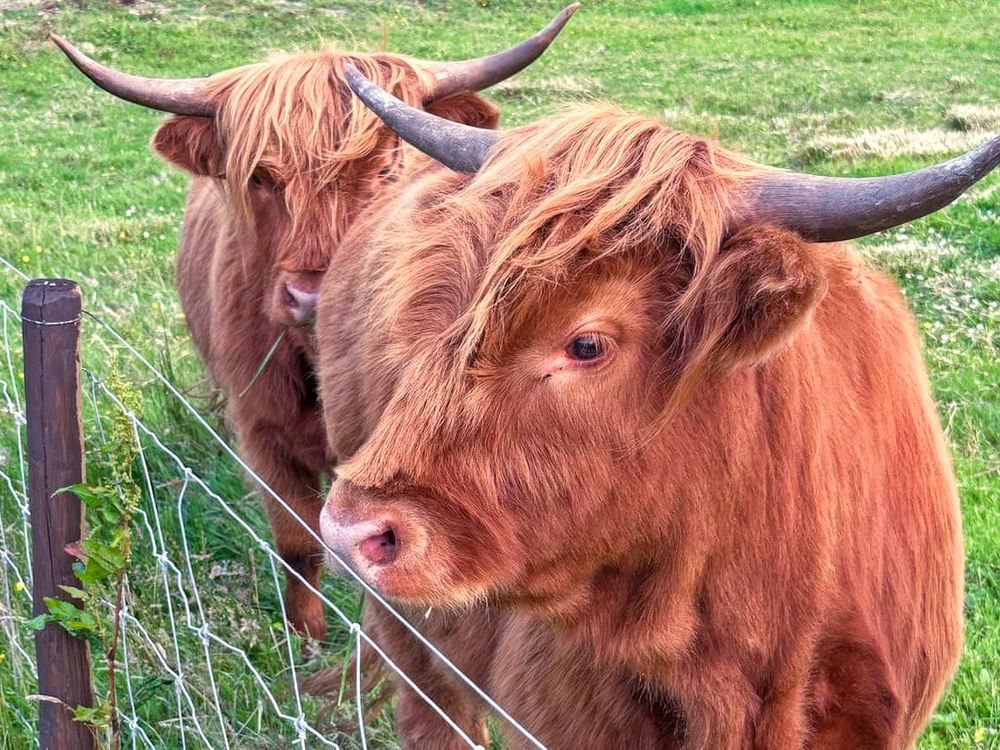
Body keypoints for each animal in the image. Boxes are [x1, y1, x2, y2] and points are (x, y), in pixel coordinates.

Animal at [51, 5, 577, 642]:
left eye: (388, 169)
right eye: (259, 177)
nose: (311, 295)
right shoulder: (262, 432)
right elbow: (299, 544)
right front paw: (305, 638)